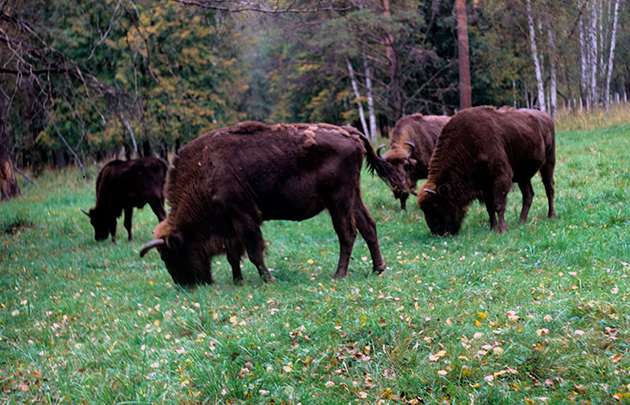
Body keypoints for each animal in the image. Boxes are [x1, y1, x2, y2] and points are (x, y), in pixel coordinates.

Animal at [139, 120, 410, 284]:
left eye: (169, 255)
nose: (184, 283)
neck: (204, 170)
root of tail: (350, 132)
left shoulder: (244, 217)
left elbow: (253, 252)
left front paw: (267, 279)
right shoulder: (231, 225)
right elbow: (233, 255)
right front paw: (238, 281)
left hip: (338, 199)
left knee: (347, 233)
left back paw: (338, 275)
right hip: (353, 195)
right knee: (368, 226)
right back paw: (378, 268)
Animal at [420, 105, 556, 235]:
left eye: (435, 206)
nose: (437, 231)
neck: (467, 143)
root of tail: (546, 117)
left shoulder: (500, 178)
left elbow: (498, 205)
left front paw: (502, 229)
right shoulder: (484, 185)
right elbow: (489, 208)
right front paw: (493, 228)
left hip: (548, 163)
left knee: (549, 189)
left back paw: (551, 216)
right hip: (523, 175)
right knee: (528, 194)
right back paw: (521, 221)